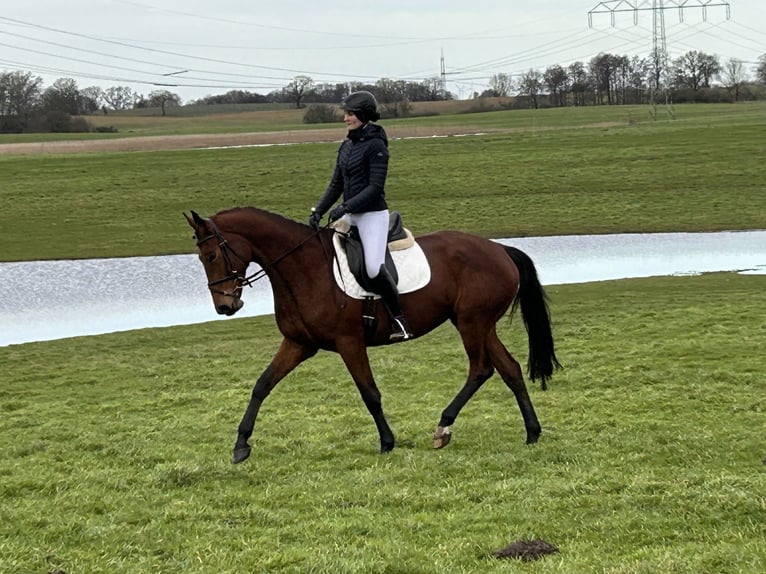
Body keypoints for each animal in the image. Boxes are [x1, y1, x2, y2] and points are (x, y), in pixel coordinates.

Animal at [184, 207, 560, 464]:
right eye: (201, 258)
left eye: (212, 254)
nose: (225, 306)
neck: (304, 269)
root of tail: (499, 249)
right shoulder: (299, 343)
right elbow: (262, 385)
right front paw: (241, 445)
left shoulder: (349, 342)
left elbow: (370, 393)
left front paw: (387, 442)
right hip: (478, 324)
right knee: (509, 369)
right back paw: (532, 432)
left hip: (472, 323)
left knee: (481, 369)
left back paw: (443, 427)